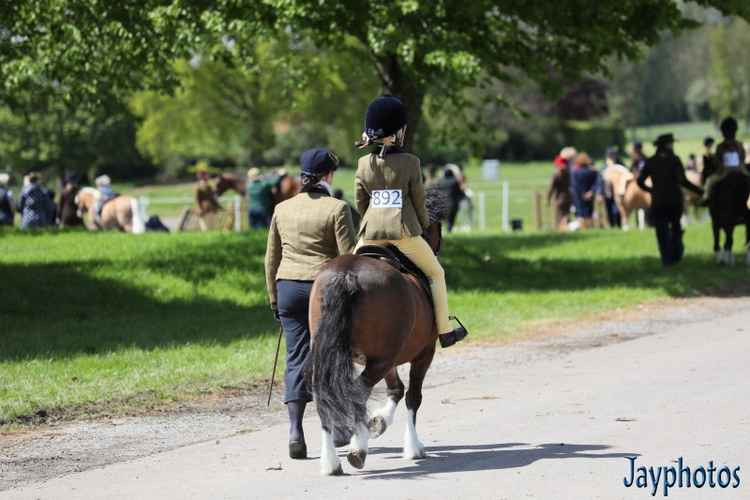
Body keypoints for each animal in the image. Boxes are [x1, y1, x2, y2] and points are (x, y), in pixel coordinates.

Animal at [306, 189, 446, 474]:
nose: (438, 248)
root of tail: (346, 274)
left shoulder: (388, 358)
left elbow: (397, 390)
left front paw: (378, 422)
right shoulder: (423, 353)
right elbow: (413, 396)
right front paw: (412, 447)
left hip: (341, 357)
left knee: (325, 396)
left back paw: (332, 460)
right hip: (382, 359)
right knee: (358, 393)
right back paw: (357, 449)